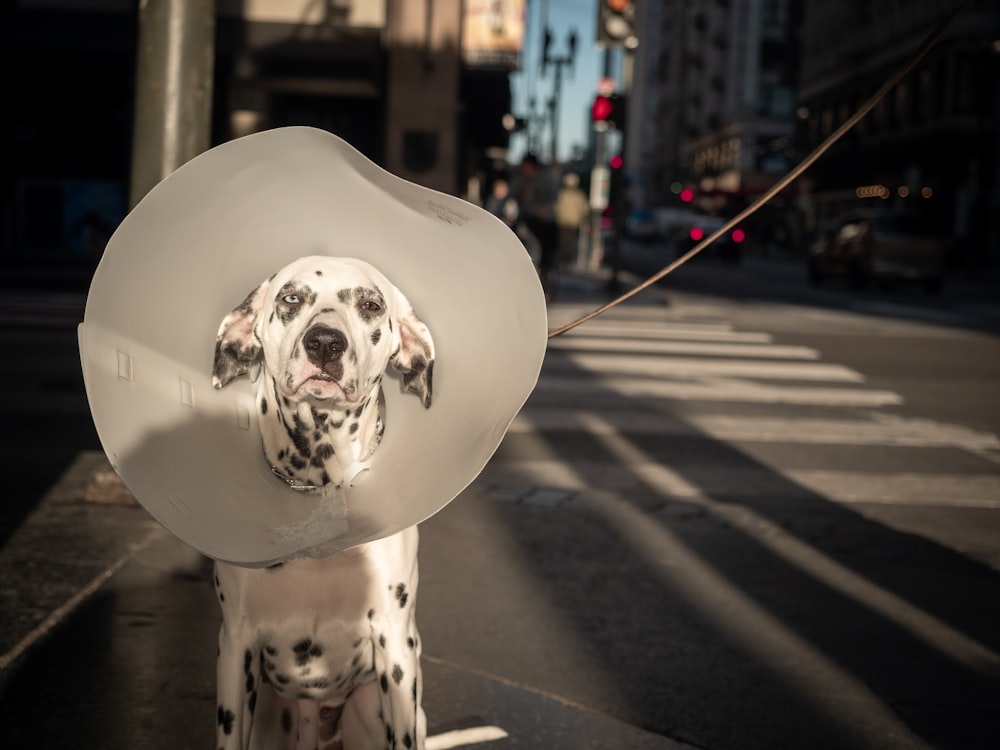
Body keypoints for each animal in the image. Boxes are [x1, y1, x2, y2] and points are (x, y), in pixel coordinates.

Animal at [209, 256, 432, 748]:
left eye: (370, 305)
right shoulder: (236, 646)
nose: (326, 342)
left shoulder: (396, 644)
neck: (319, 489)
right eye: (291, 298)